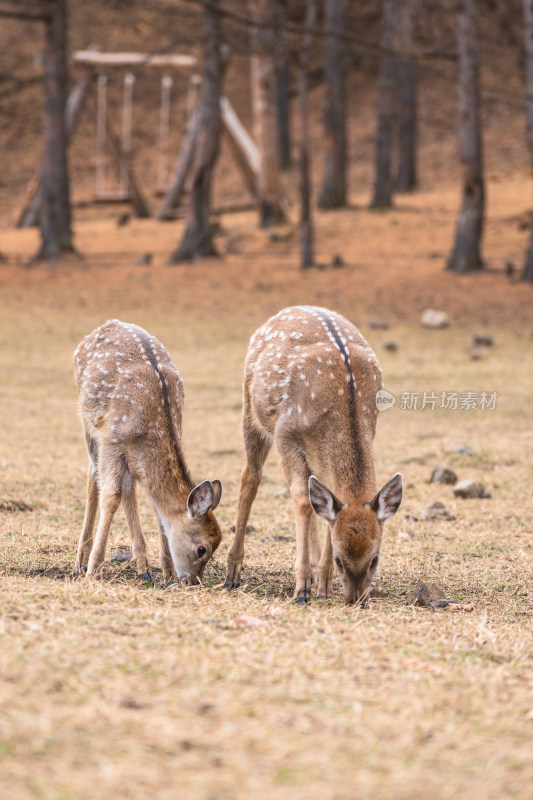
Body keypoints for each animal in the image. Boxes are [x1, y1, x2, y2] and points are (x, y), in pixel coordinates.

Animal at [71, 318, 221, 580]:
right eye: (202, 548)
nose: (192, 582)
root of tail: (107, 323)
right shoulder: (111, 440)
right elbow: (111, 497)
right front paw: (93, 570)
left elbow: (151, 504)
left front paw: (167, 573)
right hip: (88, 421)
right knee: (93, 475)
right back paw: (81, 561)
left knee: (128, 487)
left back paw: (144, 568)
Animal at [222, 308, 402, 608]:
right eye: (340, 561)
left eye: (375, 559)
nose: (356, 600)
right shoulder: (286, 434)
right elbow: (301, 500)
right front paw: (302, 589)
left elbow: (323, 507)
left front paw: (323, 585)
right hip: (250, 409)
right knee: (250, 478)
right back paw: (232, 572)